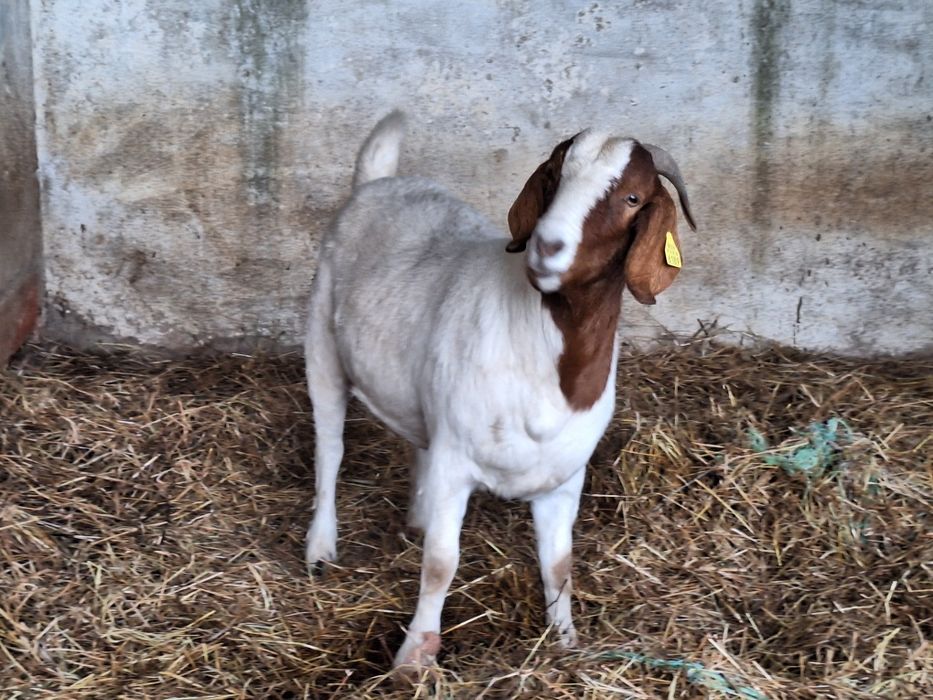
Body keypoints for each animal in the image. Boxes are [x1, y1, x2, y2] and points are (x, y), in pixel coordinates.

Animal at [303, 110, 696, 672]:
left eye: (633, 197)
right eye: (552, 177)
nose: (547, 245)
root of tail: (377, 182)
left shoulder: (563, 478)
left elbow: (559, 564)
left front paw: (565, 642)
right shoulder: (456, 463)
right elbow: (441, 563)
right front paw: (414, 658)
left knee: (414, 440)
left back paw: (416, 519)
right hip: (321, 344)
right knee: (330, 448)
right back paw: (320, 547)